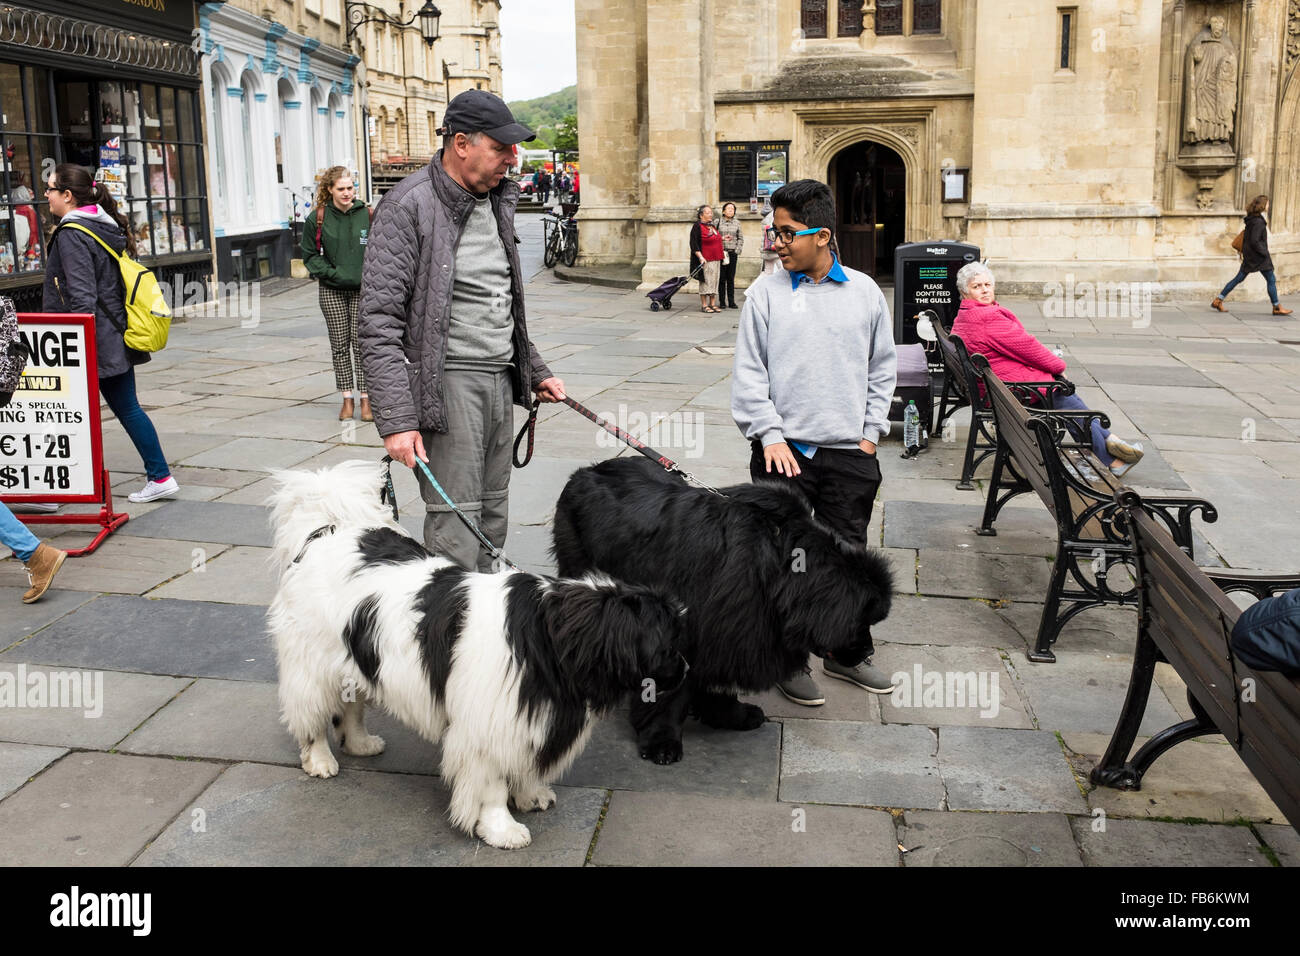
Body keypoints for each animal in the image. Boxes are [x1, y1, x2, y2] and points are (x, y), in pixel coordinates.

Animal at [267, 460, 686, 848]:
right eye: (668, 644)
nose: (685, 669)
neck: (548, 641)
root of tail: (328, 528)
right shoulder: (487, 729)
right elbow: (490, 787)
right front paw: (502, 829)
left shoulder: (527, 720)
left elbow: (524, 768)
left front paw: (531, 796)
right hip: (311, 663)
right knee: (311, 714)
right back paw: (320, 760)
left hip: (354, 656)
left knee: (350, 706)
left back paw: (360, 744)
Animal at [548, 455, 894, 764]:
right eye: (860, 621)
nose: (868, 651)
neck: (778, 569)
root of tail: (587, 470)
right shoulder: (687, 630)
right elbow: (671, 690)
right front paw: (662, 739)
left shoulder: (728, 628)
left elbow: (710, 678)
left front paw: (729, 714)